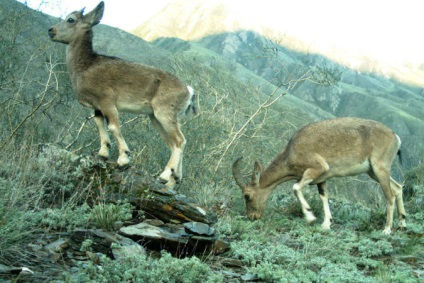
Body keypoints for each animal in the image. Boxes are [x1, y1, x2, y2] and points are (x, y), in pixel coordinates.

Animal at [48, 2, 195, 190]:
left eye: (71, 19)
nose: (51, 30)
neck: (87, 66)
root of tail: (188, 91)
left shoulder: (107, 101)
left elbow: (113, 126)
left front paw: (124, 159)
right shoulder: (97, 107)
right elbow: (100, 124)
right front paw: (103, 153)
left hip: (165, 114)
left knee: (180, 141)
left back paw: (164, 176)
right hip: (155, 118)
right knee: (172, 143)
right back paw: (173, 180)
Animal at [234, 117, 406, 235]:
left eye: (247, 196)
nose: (252, 217)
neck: (291, 152)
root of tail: (396, 138)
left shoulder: (318, 168)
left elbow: (295, 187)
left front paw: (310, 217)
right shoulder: (321, 179)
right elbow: (324, 196)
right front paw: (326, 224)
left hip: (380, 168)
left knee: (389, 195)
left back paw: (387, 229)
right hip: (373, 172)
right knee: (398, 188)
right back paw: (402, 224)